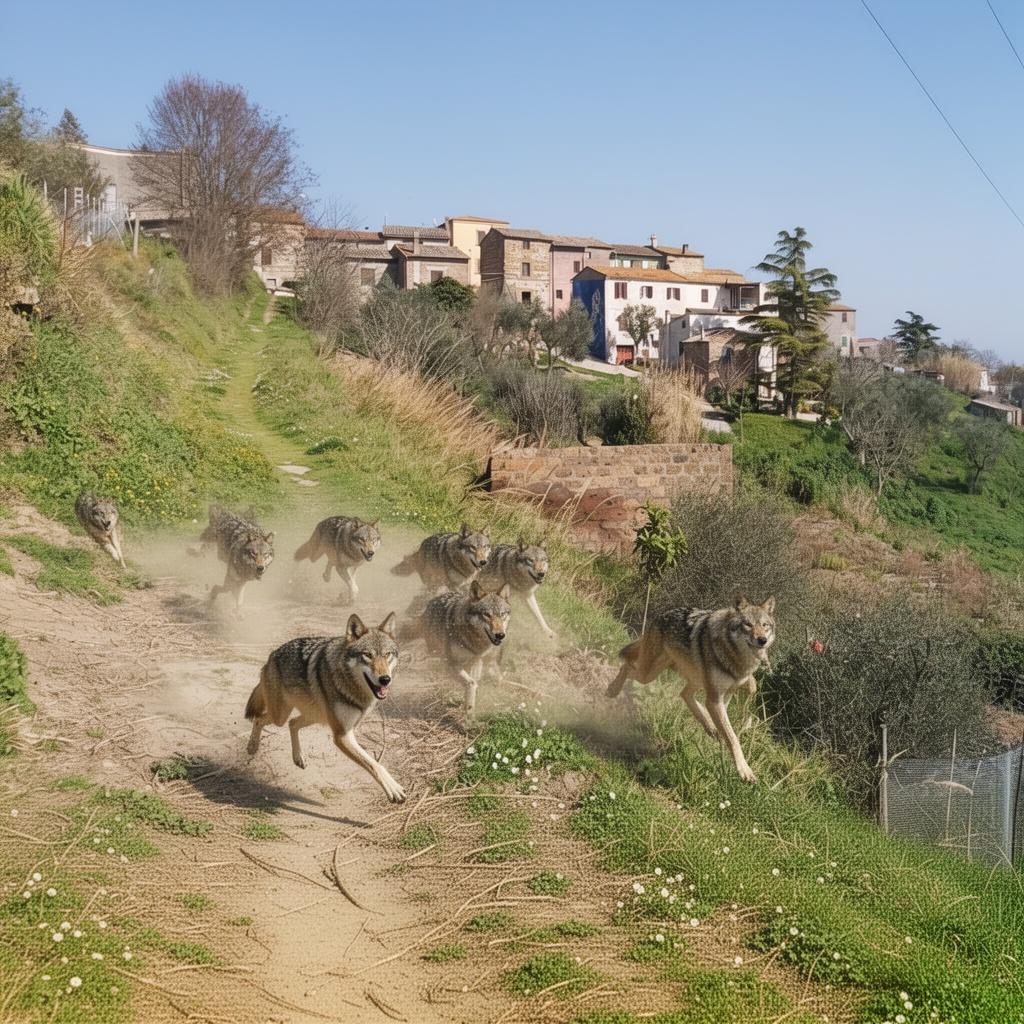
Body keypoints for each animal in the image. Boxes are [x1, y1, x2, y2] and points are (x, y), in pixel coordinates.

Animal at [244, 613, 405, 803]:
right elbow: (375, 765)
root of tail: (271, 658)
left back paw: (298, 757)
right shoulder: (342, 735)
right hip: (280, 716)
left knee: (292, 723)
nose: (385, 679)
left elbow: (374, 763)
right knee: (259, 719)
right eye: (367, 655)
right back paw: (252, 747)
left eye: (387, 654)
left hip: (314, 716)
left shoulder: (347, 730)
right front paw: (394, 789)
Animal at [400, 580, 510, 714]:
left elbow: (499, 680)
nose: (500, 635)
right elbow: (471, 683)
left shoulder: (490, 662)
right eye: (486, 615)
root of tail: (433, 600)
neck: (478, 644)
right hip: (436, 651)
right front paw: (469, 711)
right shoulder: (452, 663)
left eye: (502, 614)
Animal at [606, 594, 776, 783]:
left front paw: (744, 721)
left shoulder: (727, 692)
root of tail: (661, 615)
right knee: (627, 667)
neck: (736, 658)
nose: (762, 640)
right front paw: (744, 770)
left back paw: (709, 725)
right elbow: (732, 737)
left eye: (765, 625)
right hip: (647, 674)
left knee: (685, 694)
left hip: (688, 679)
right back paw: (612, 690)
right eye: (748, 624)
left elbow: (752, 688)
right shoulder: (715, 698)